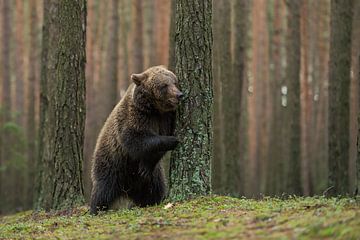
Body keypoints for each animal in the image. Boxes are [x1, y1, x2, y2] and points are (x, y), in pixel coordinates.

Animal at [90, 65, 183, 214]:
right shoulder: (135, 117)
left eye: (175, 82)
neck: (154, 109)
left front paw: (145, 167)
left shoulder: (165, 118)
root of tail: (127, 188)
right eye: (164, 85)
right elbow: (136, 140)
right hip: (111, 164)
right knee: (102, 190)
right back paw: (96, 209)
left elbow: (151, 157)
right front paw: (172, 140)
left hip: (150, 179)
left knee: (155, 190)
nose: (179, 95)